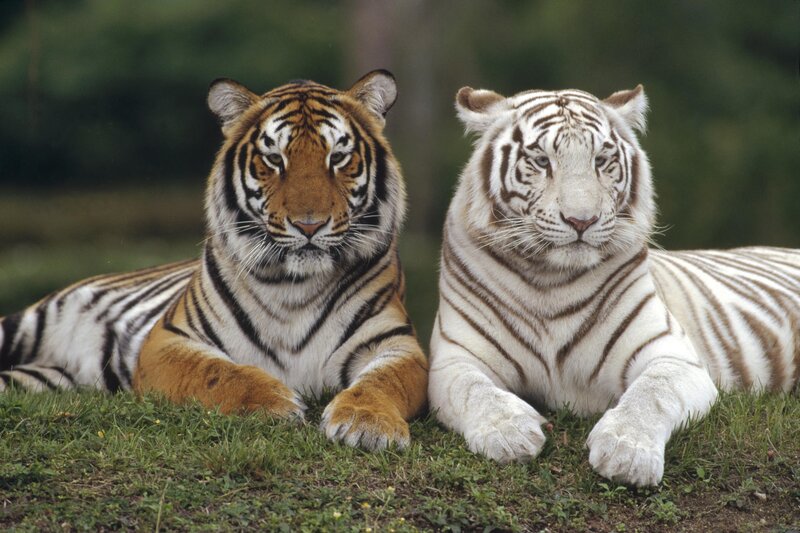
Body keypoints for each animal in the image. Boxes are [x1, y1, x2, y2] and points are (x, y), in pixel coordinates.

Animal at [0, 70, 428, 451]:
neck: (295, 285)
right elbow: (217, 372)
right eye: (274, 159)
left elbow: (383, 381)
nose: (309, 225)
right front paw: (275, 402)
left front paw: (367, 423)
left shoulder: (396, 344)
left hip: (47, 379)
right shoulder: (168, 340)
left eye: (338, 157)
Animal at [428, 83, 800, 486]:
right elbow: (474, 390)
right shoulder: (455, 359)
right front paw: (509, 433)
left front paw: (627, 452)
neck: (550, 280)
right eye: (541, 161)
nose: (581, 220)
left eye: (601, 160)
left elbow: (652, 393)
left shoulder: (673, 355)